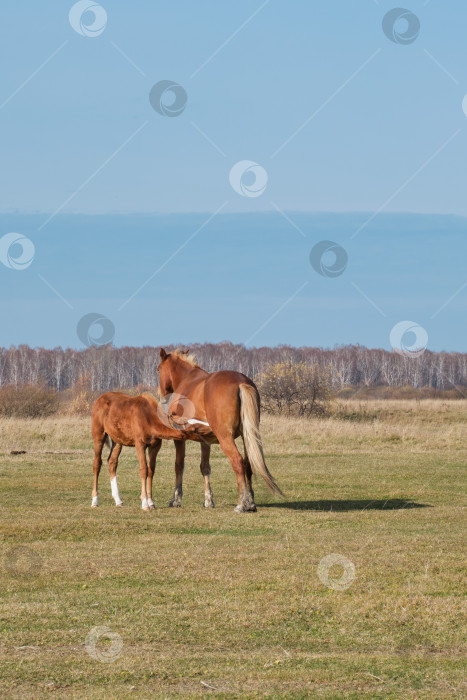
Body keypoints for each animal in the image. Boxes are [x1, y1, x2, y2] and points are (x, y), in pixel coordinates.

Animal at [157, 348, 284, 508]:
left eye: (158, 369)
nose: (161, 394)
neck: (187, 380)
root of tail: (241, 382)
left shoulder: (180, 437)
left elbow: (179, 465)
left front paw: (176, 499)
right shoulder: (204, 439)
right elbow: (205, 467)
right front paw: (208, 500)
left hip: (225, 438)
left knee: (237, 461)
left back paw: (242, 503)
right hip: (247, 436)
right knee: (248, 463)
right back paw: (250, 501)